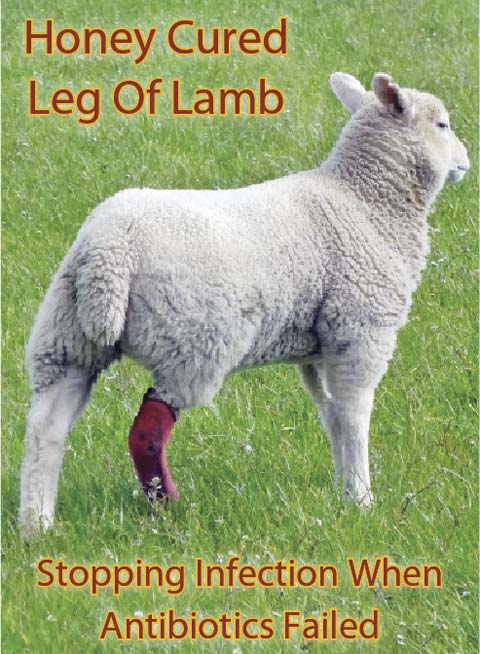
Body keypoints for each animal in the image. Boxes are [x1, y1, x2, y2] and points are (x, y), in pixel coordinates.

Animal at [19, 72, 469, 540]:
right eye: (442, 125)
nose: (465, 162)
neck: (364, 202)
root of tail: (109, 250)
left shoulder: (319, 347)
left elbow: (331, 416)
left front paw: (342, 491)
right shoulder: (360, 330)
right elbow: (354, 415)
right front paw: (361, 499)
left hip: (67, 337)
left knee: (45, 428)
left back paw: (36, 524)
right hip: (191, 340)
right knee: (147, 430)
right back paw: (167, 503)